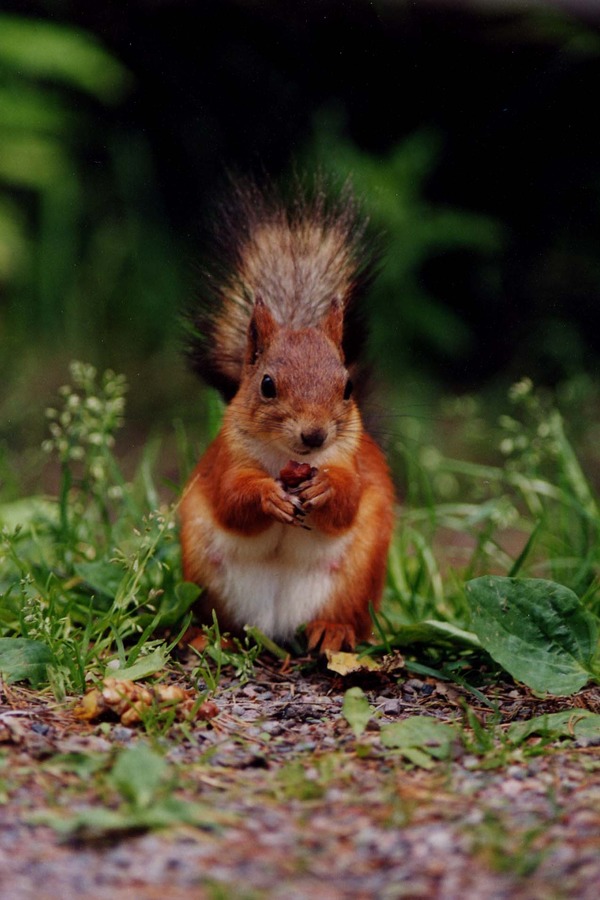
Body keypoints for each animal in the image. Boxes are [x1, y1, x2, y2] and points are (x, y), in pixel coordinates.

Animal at [179, 178, 394, 652]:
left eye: (347, 387)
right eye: (266, 385)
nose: (314, 435)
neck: (288, 461)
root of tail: (273, 624)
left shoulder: (352, 459)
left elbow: (348, 500)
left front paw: (326, 488)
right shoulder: (226, 459)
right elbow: (231, 500)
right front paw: (267, 495)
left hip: (360, 574)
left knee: (348, 616)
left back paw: (333, 630)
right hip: (201, 567)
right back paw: (206, 636)